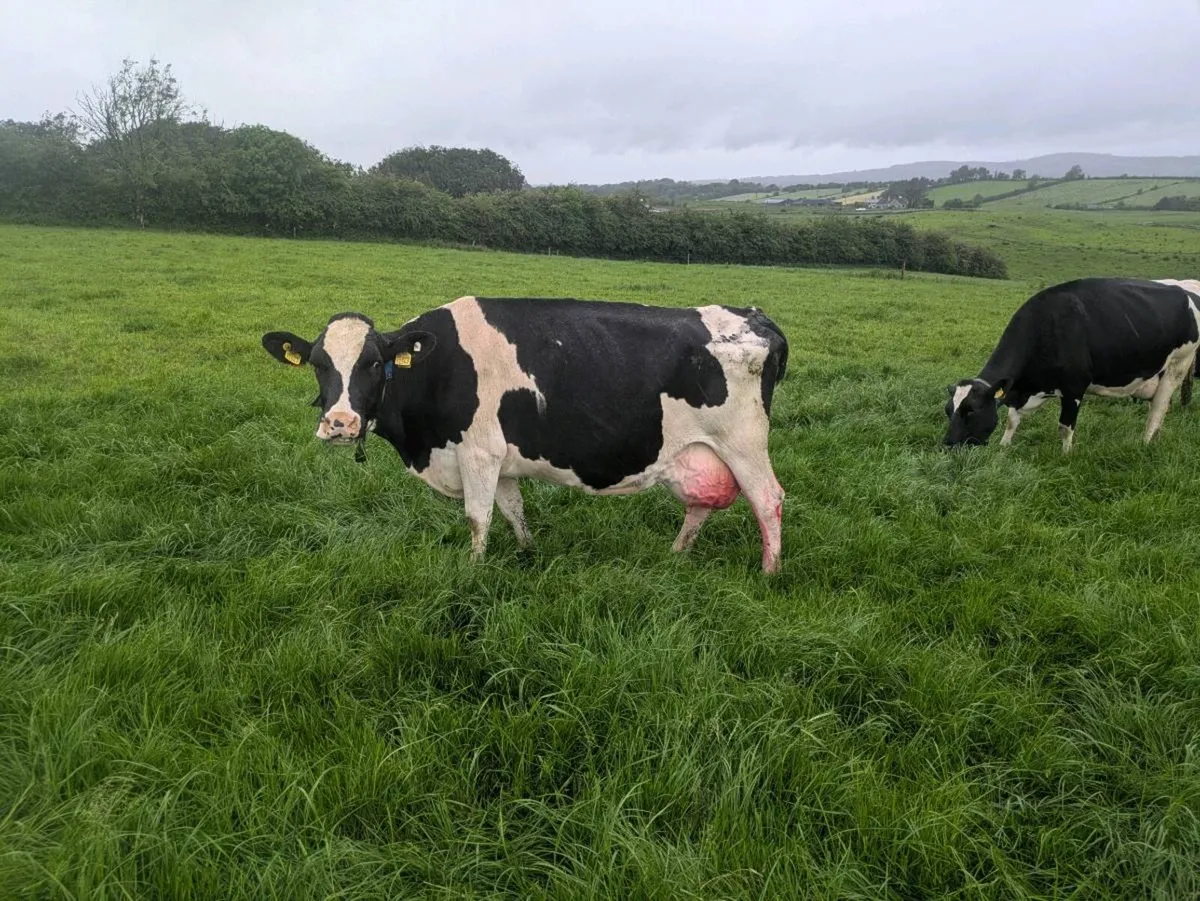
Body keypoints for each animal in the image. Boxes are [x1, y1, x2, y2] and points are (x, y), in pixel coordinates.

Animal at [262, 297, 789, 572]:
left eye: (373, 363)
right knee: (702, 502)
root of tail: (755, 315)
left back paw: (769, 572)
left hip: (744, 442)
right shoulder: (502, 459)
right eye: (318, 364)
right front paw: (528, 553)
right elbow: (513, 509)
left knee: (768, 500)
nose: (340, 424)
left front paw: (472, 572)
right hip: (699, 452)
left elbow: (477, 518)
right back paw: (676, 556)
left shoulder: (478, 452)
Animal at [944, 277, 1200, 453]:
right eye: (948, 410)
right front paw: (1004, 446)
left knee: (1158, 409)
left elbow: (1065, 427)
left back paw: (1145, 443)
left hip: (1178, 365)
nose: (947, 444)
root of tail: (1185, 290)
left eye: (971, 410)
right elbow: (1011, 419)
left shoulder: (1074, 388)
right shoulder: (1022, 389)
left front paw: (1066, 455)